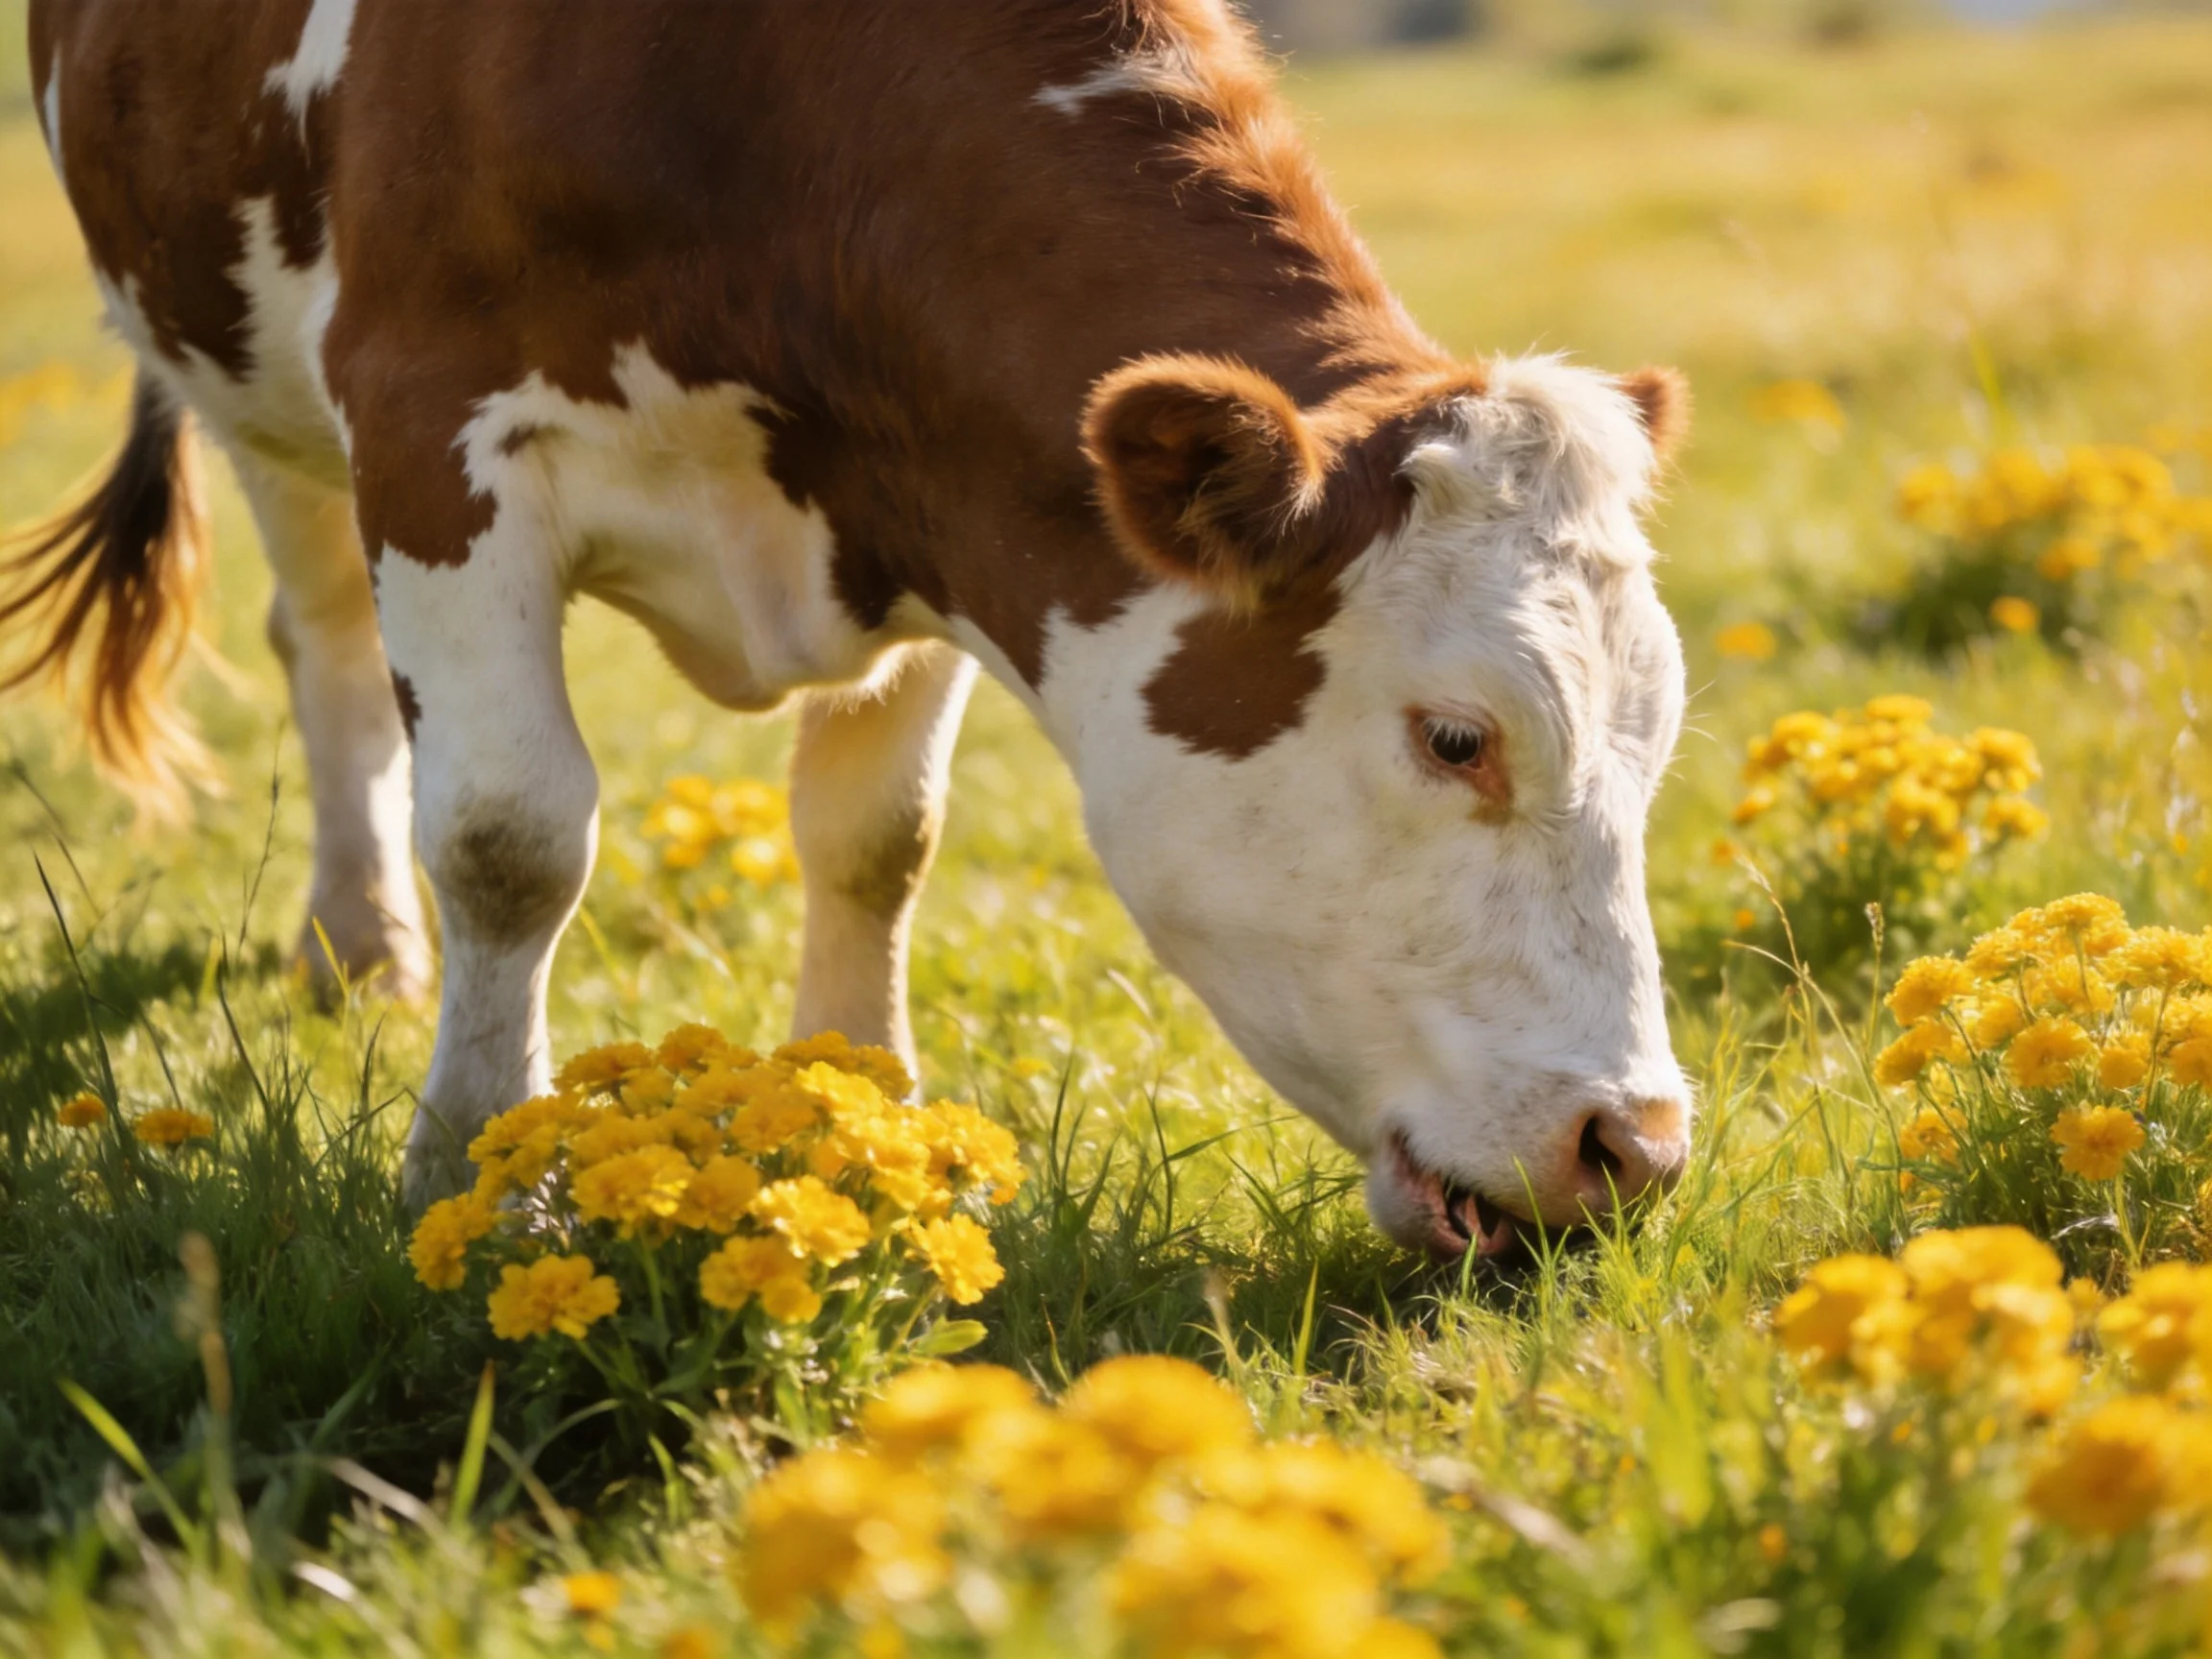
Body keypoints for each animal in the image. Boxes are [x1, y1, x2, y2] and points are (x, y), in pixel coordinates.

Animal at [11, 0, 1694, 1260]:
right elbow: (508, 836)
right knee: (329, 646)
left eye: (1656, 742)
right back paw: (360, 939)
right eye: (1458, 738)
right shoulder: (432, 424)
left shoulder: (951, 502)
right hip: (254, 382)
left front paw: (862, 1111)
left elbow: (880, 835)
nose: (1634, 1146)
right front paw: (483, 1173)